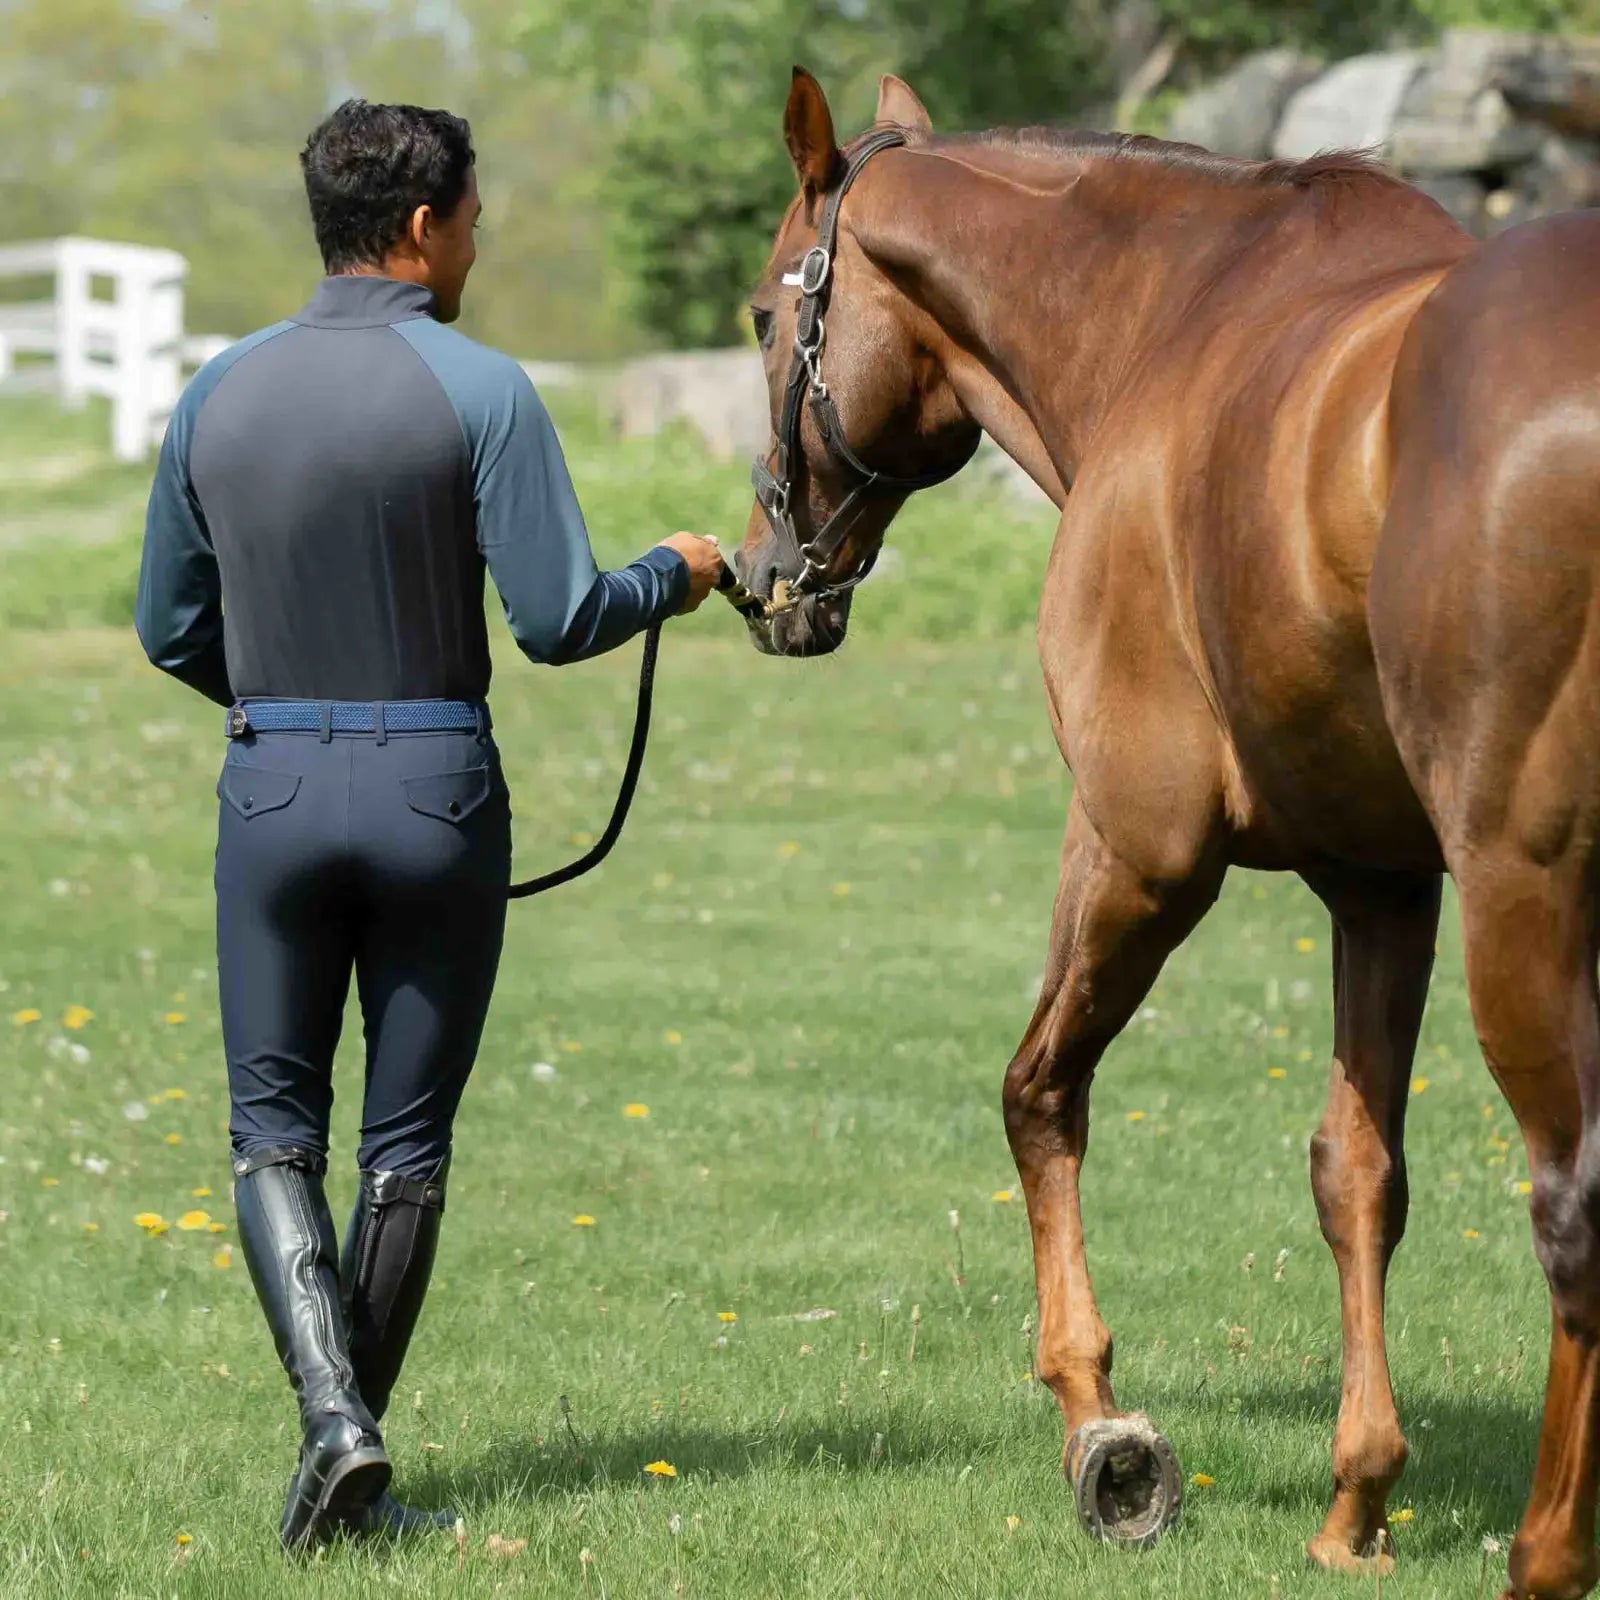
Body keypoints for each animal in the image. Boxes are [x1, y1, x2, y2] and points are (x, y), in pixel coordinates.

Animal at [733, 66, 1600, 1600]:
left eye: (773, 318)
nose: (769, 575)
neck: (1174, 315)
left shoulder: (1140, 846)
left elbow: (1037, 1092)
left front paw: (1099, 1427)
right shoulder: (1381, 885)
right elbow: (1356, 1174)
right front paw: (1356, 1498)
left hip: (1522, 899)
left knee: (1573, 1212)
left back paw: (1548, 1554)